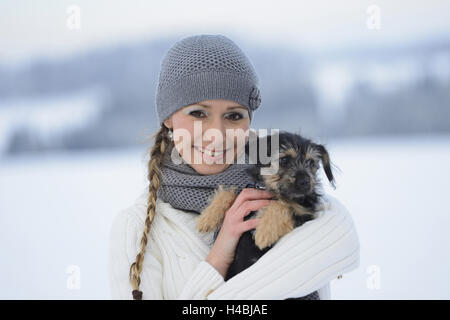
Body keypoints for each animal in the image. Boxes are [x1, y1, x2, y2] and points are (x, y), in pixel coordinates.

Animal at [195, 129, 336, 298]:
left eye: (311, 163)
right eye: (284, 160)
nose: (305, 182)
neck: (273, 191)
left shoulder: (303, 217)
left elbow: (282, 205)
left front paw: (265, 232)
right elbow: (231, 192)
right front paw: (207, 218)